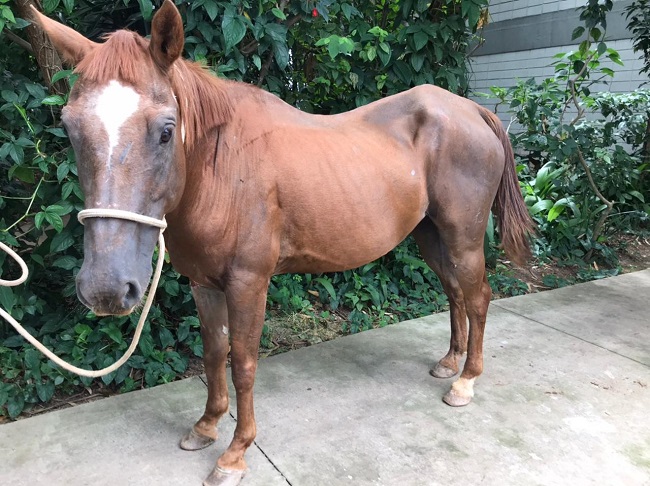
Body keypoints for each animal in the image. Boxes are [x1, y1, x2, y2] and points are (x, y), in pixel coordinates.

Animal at [33, 1, 532, 484]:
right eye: (70, 128)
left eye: (166, 130)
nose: (105, 288)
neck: (223, 170)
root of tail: (472, 111)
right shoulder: (204, 284)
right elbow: (213, 354)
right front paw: (207, 426)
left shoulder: (249, 283)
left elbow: (243, 363)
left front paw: (235, 453)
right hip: (431, 236)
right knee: (454, 293)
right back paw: (450, 362)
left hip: (463, 238)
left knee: (478, 296)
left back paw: (465, 381)